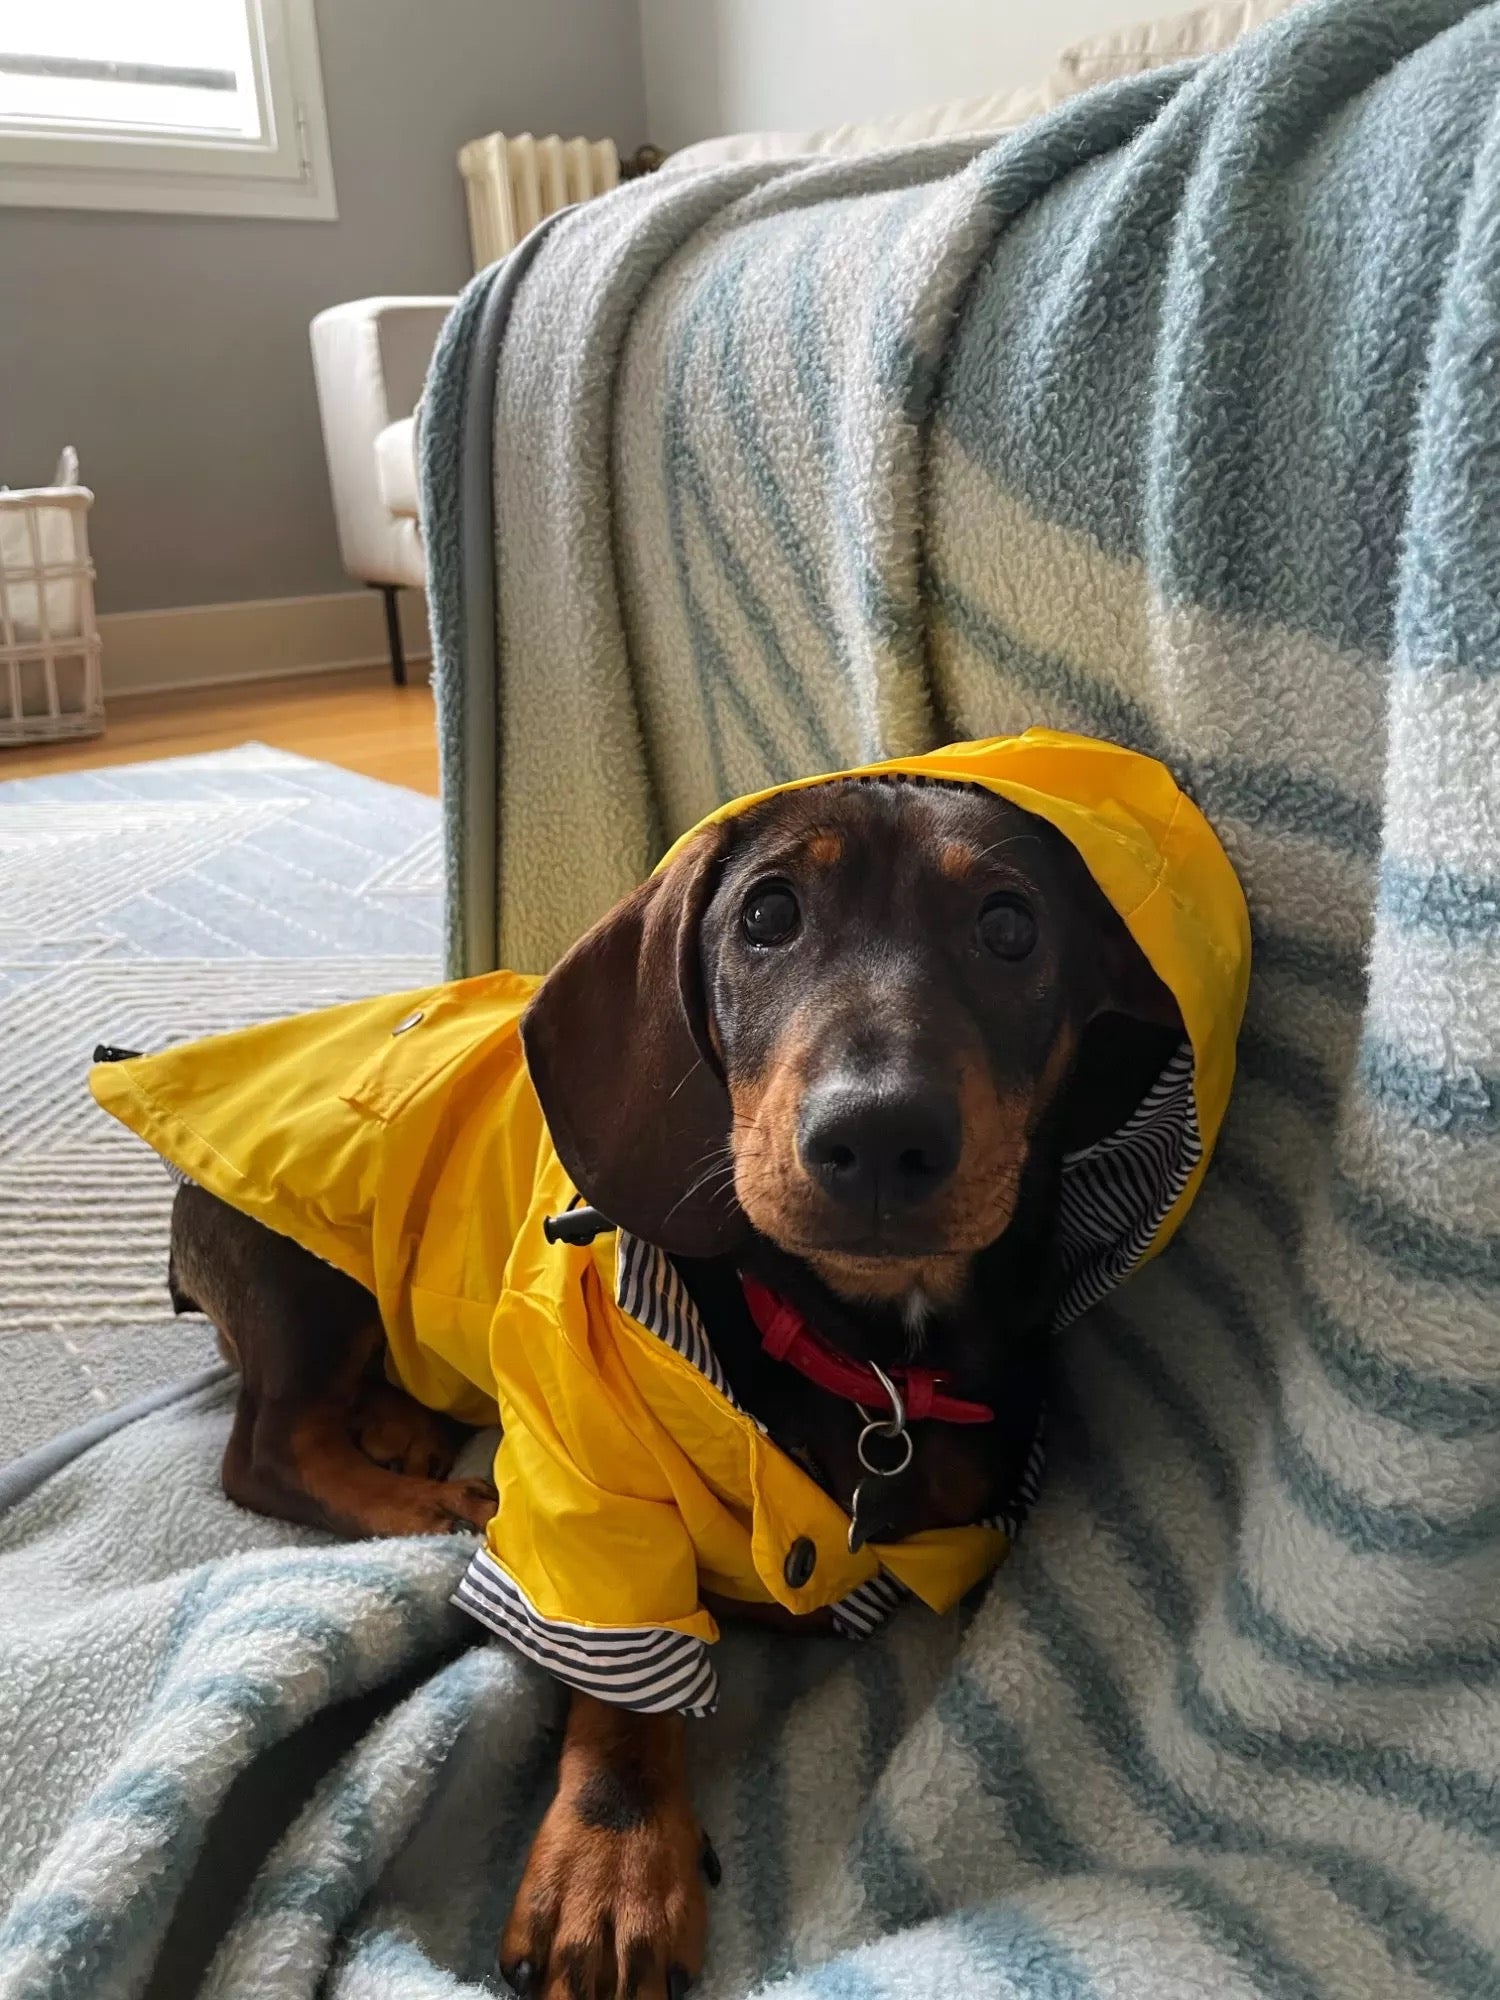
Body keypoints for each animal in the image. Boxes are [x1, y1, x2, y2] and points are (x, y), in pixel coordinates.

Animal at [162, 776, 1184, 2000]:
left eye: (1010, 925)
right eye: (768, 915)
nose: (878, 1134)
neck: (855, 1341)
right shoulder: (589, 1490)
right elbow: (619, 1674)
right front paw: (612, 1865)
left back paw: (403, 1426)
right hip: (308, 1262)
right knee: (266, 1448)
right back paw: (432, 1501)